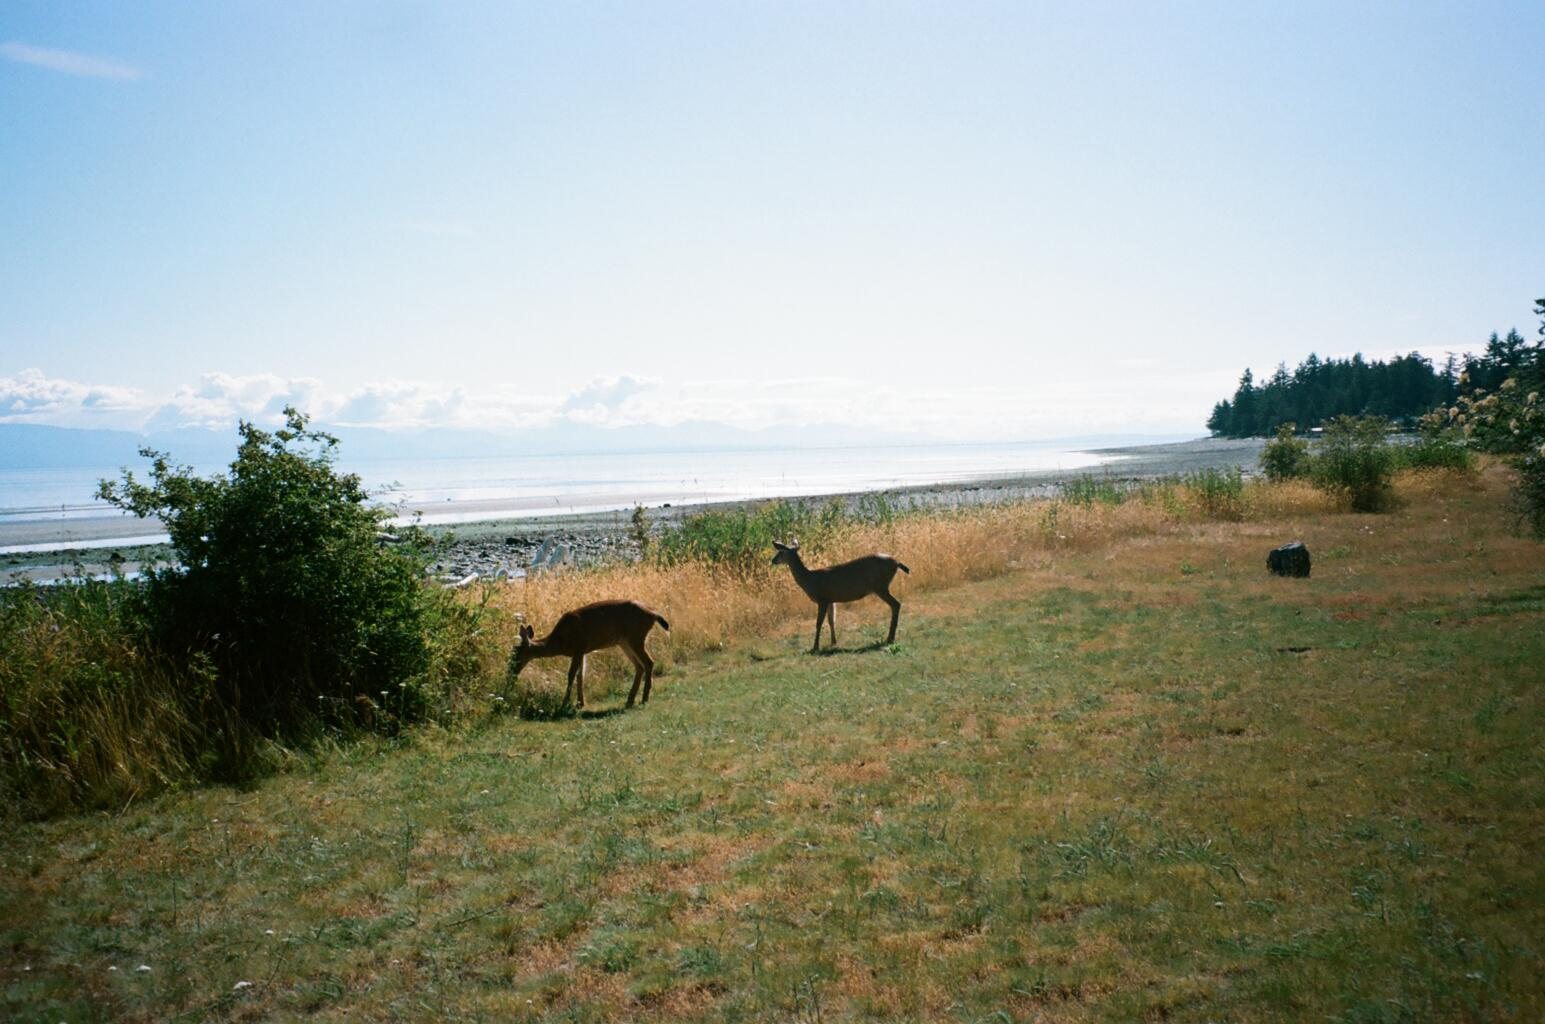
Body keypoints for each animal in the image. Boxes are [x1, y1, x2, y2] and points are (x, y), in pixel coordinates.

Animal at [509, 600, 670, 710]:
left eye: (515, 654)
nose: (511, 672)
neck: (561, 641)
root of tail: (654, 614)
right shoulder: (582, 652)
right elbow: (580, 676)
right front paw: (580, 703)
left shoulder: (578, 648)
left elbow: (571, 675)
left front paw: (564, 704)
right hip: (625, 642)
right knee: (639, 666)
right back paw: (630, 700)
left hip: (636, 637)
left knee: (649, 662)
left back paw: (644, 699)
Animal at [771, 539, 909, 653]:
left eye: (781, 552)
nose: (773, 561)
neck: (810, 580)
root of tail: (897, 562)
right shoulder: (831, 600)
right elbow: (831, 621)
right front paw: (833, 642)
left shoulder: (822, 599)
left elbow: (818, 623)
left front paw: (815, 647)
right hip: (881, 587)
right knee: (896, 604)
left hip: (880, 586)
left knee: (896, 604)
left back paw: (890, 638)